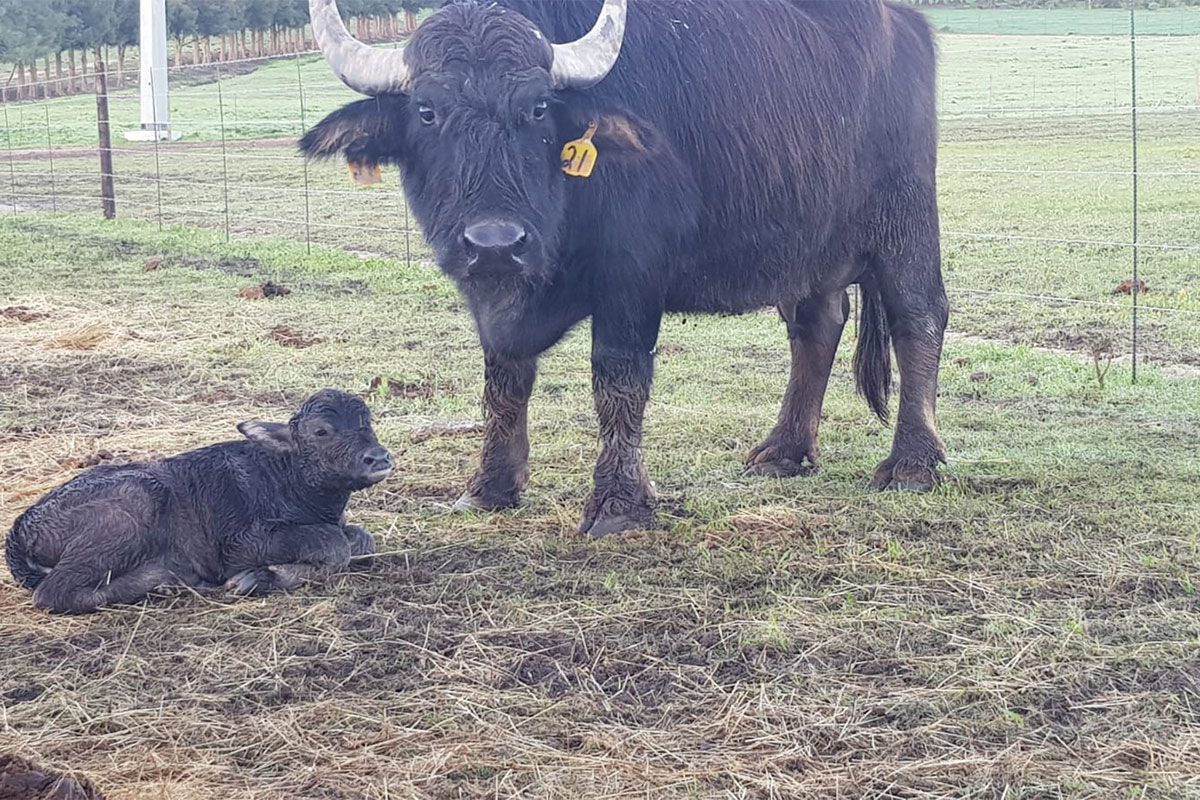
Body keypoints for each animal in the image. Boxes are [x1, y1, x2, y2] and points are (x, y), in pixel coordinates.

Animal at [6, 390, 391, 614]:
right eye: (321, 431)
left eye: (367, 422)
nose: (380, 458)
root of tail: (20, 530)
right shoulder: (240, 543)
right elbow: (333, 544)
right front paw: (255, 579)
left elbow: (361, 539)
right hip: (132, 508)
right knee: (54, 593)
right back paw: (165, 581)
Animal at [301, 0, 948, 537]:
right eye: (427, 111)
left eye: (538, 108)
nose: (496, 244)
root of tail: (907, 25)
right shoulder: (491, 293)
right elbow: (503, 378)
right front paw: (490, 486)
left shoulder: (631, 277)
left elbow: (618, 380)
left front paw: (618, 504)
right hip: (808, 243)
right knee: (817, 324)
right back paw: (784, 450)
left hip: (906, 215)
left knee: (920, 315)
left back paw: (913, 463)